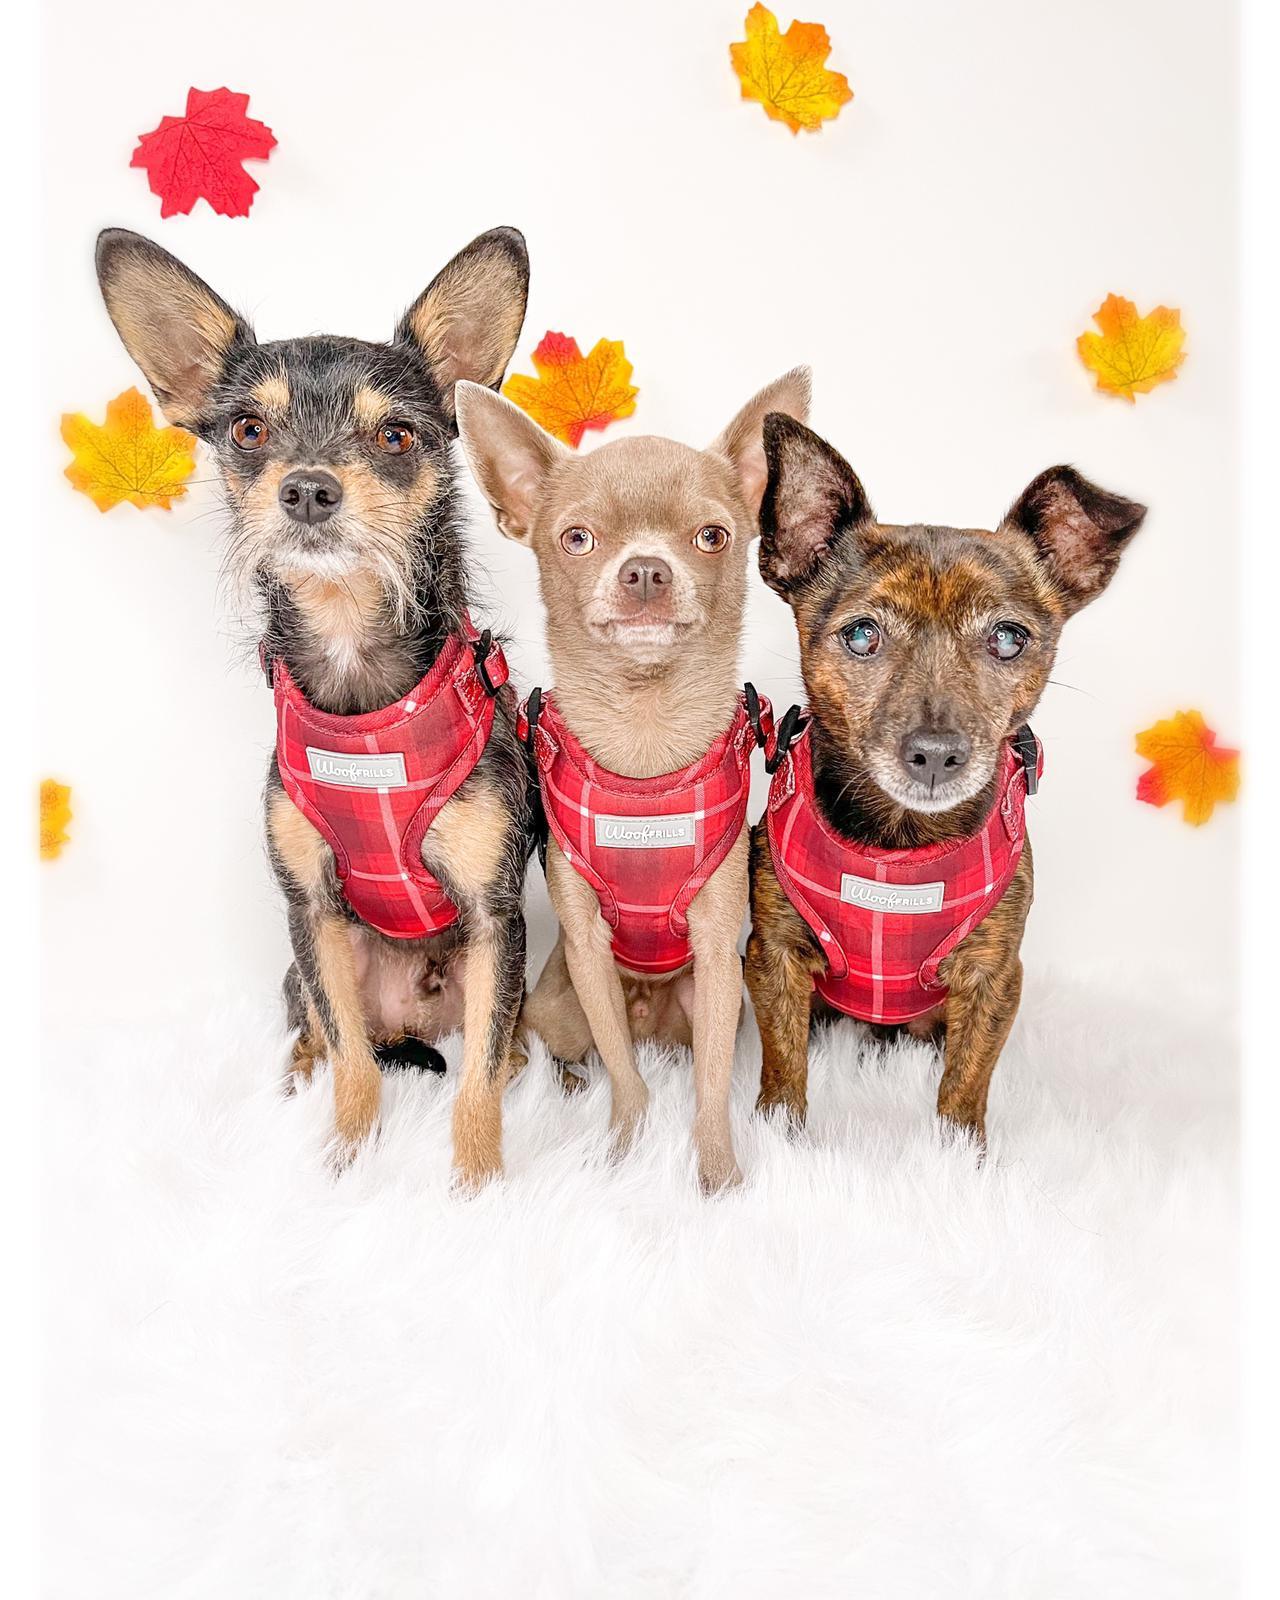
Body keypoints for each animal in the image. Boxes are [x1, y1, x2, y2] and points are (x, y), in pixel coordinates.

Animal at [96, 225, 534, 1184]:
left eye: (398, 435)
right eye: (247, 429)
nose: (307, 487)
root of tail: (412, 1015)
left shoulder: (496, 919)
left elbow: (477, 1084)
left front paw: (480, 1184)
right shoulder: (312, 912)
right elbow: (354, 1066)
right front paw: (345, 1164)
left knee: (495, 1040)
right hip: (301, 971)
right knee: (332, 1037)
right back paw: (298, 1075)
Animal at [745, 412, 1145, 1139]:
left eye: (1009, 639)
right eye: (862, 636)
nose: (935, 752)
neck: (901, 846)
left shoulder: (993, 980)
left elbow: (966, 1080)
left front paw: (958, 1150)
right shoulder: (774, 959)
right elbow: (784, 1065)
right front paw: (779, 1135)